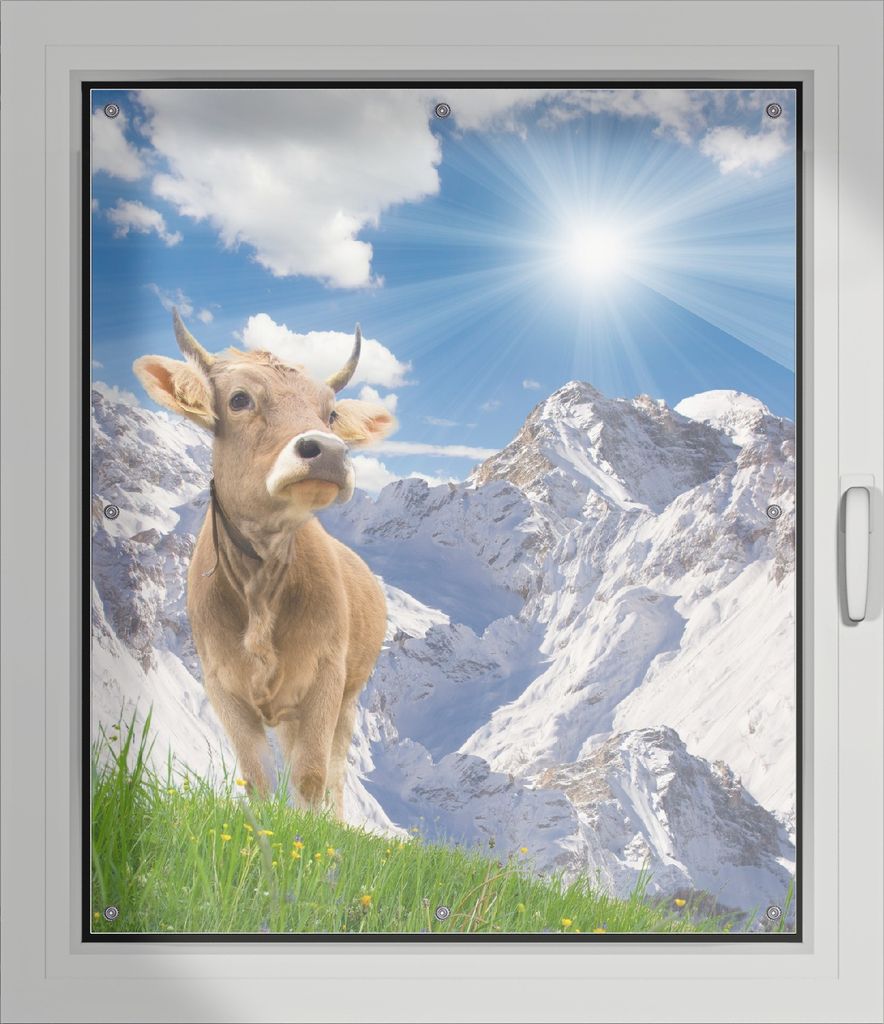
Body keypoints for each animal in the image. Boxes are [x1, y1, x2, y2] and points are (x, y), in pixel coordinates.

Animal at [133, 310, 396, 816]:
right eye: (240, 399)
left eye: (330, 412)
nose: (328, 451)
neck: (260, 586)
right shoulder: (222, 687)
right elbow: (257, 780)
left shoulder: (325, 679)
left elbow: (311, 779)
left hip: (349, 697)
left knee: (334, 774)